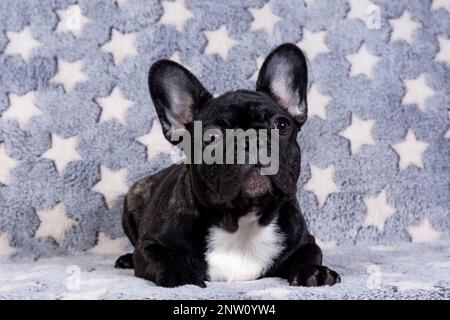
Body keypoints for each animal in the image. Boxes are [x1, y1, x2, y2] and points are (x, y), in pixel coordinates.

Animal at [116, 43, 342, 288]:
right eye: (212, 137)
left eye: (281, 125)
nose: (251, 139)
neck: (242, 221)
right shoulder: (150, 245)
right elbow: (160, 257)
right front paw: (181, 273)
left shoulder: (305, 241)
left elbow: (309, 253)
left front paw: (313, 271)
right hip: (133, 195)